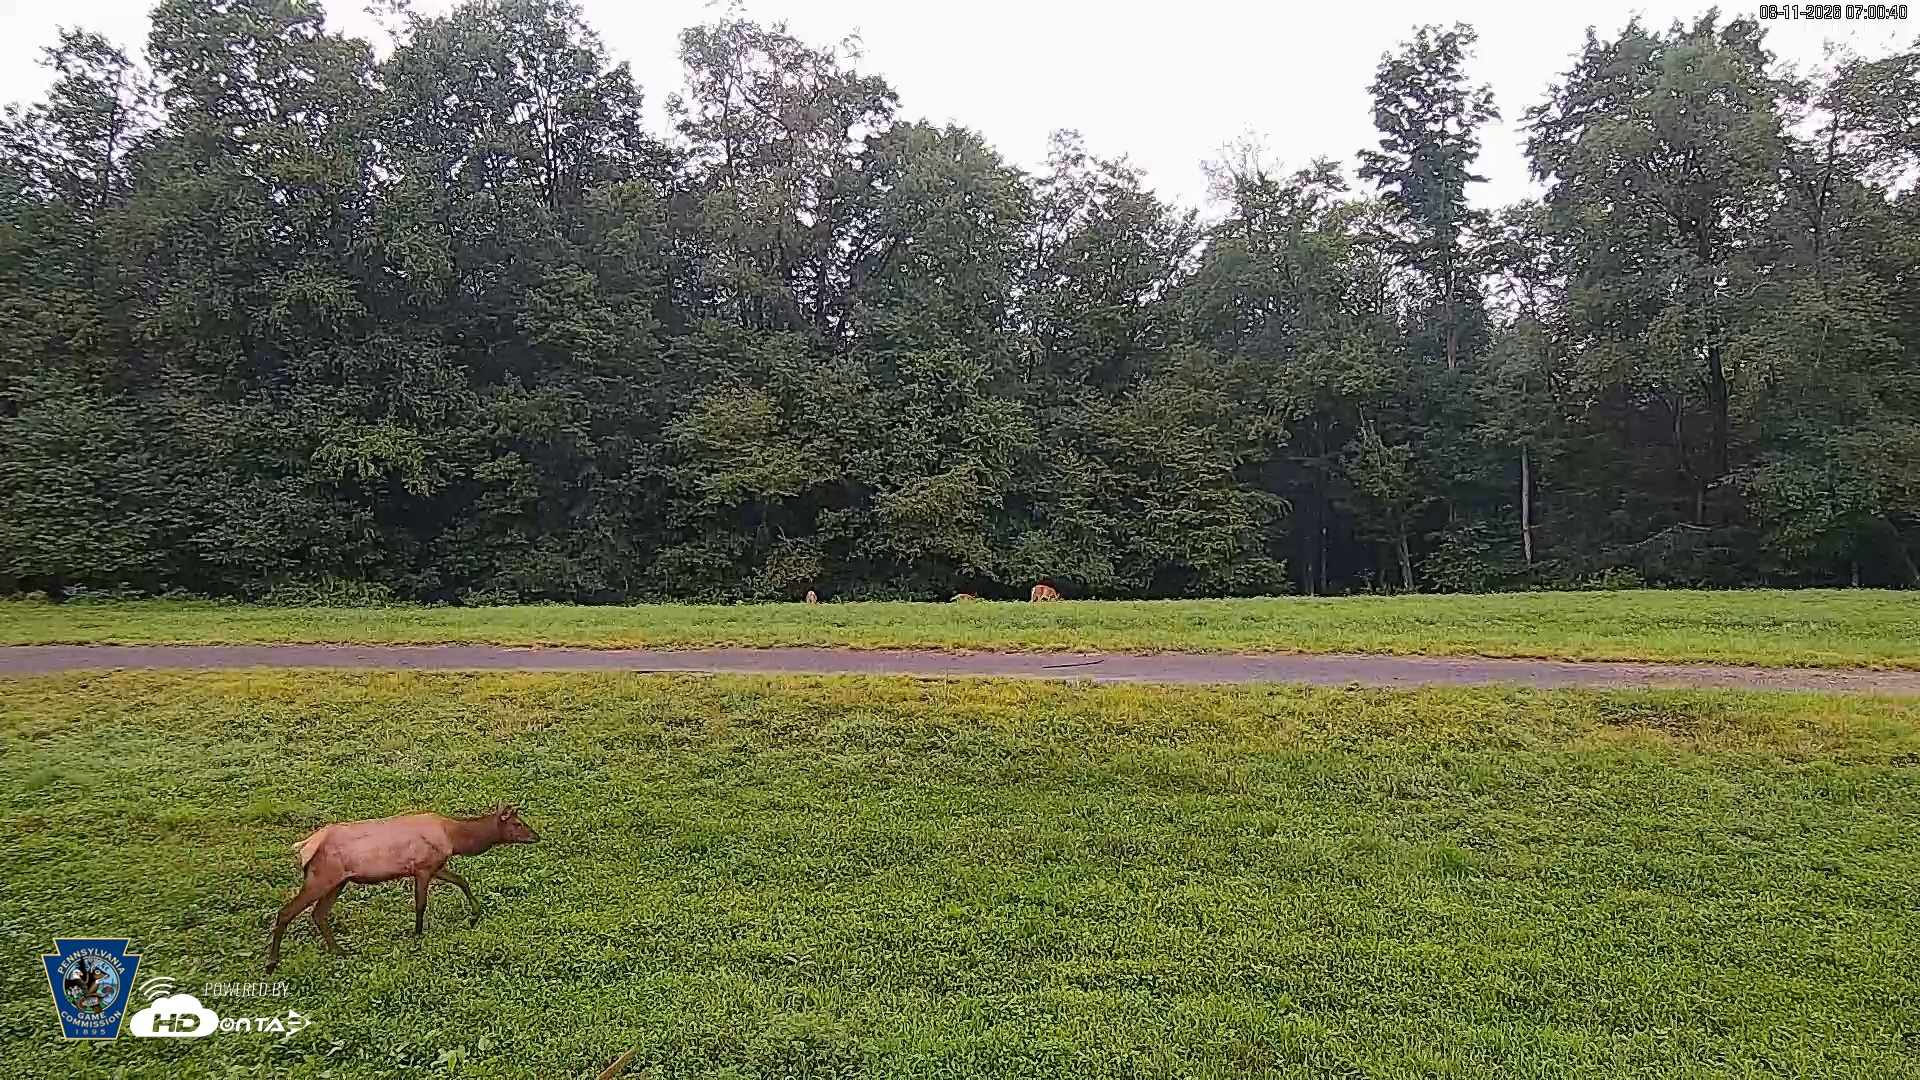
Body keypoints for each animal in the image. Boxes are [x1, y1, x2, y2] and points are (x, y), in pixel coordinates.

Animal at [265, 806, 539, 973]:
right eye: (517, 823)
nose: (536, 836)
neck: (455, 839)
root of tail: (305, 846)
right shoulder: (423, 867)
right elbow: (421, 903)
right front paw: (417, 934)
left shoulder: (435, 865)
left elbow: (462, 881)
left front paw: (475, 912)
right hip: (322, 877)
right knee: (287, 912)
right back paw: (272, 963)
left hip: (338, 881)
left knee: (319, 914)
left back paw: (339, 950)